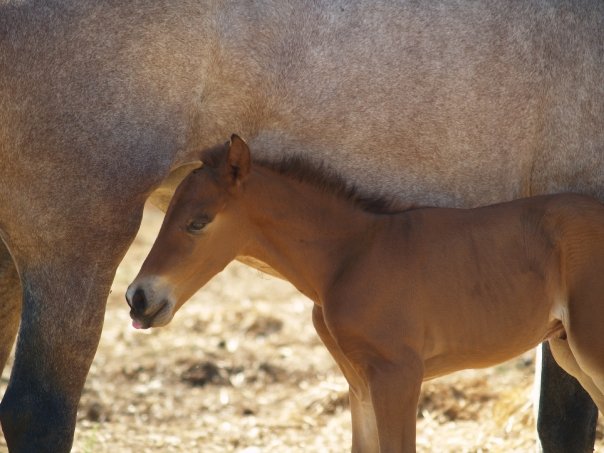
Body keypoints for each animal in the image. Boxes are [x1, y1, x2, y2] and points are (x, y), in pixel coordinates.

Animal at [129, 135, 604, 452]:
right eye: (166, 213)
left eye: (198, 222)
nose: (138, 298)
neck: (351, 255)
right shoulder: (360, 381)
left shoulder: (398, 374)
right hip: (568, 351)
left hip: (590, 350)